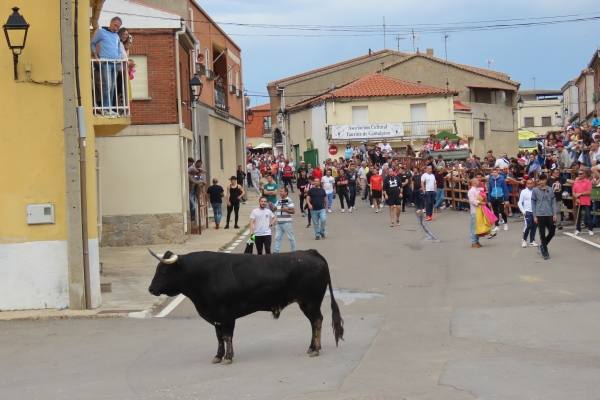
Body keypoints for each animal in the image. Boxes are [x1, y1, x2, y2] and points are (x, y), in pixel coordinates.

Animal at [148, 248, 344, 364]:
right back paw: (312, 347)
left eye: (164, 271)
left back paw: (315, 349)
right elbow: (219, 337)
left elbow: (227, 336)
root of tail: (311, 253)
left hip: (311, 302)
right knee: (314, 322)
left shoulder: (227, 316)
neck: (204, 276)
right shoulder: (217, 318)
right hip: (306, 303)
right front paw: (218, 356)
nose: (151, 289)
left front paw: (228, 357)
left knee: (317, 321)